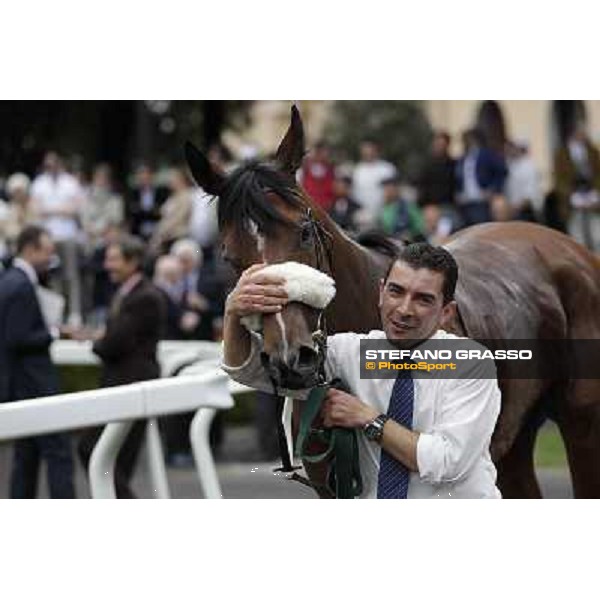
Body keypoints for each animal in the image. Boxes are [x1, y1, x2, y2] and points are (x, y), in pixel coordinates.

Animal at [186, 106, 600, 496]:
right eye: (230, 257)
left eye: (303, 232)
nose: (290, 359)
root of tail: (570, 246)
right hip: (513, 437)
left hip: (581, 421)